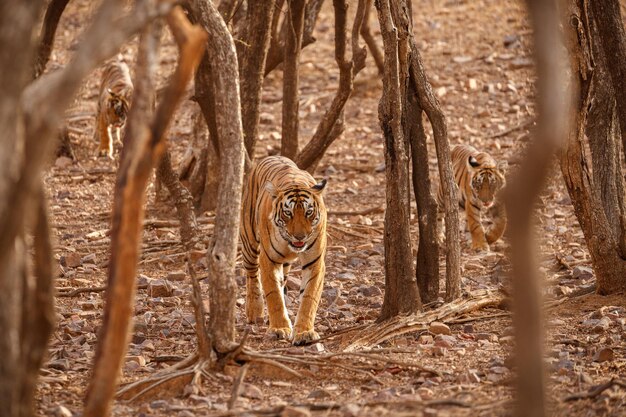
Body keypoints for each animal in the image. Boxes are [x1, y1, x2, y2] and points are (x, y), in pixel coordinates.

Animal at [239, 156, 326, 344]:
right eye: (288, 213)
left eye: (308, 212)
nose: (300, 237)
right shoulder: (268, 259)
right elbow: (274, 295)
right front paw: (279, 328)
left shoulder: (314, 261)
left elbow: (309, 297)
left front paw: (304, 332)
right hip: (249, 241)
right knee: (251, 274)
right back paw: (254, 311)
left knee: (283, 280)